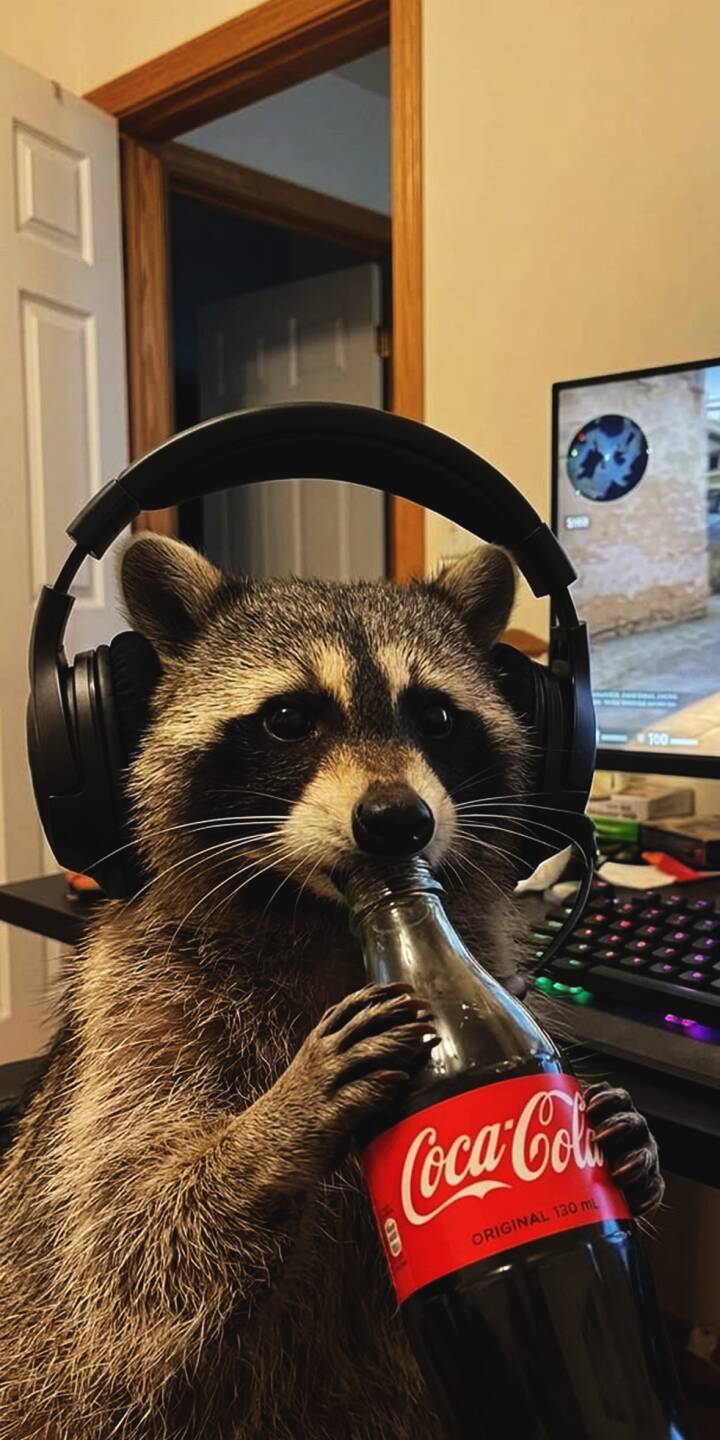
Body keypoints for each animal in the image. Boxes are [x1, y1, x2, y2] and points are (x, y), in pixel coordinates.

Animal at [0, 537, 662, 1440]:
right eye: (288, 719)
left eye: (435, 718)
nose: (397, 821)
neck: (320, 920)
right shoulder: (137, 1014)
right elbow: (121, 1258)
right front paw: (272, 1129)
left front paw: (624, 1140)